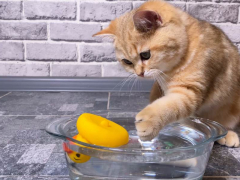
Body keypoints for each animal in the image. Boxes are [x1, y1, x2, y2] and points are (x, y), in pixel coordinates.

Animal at [93, 0, 240, 148]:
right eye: (127, 62)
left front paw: (149, 123)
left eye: (145, 55)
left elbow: (170, 107)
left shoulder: (191, 91)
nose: (139, 73)